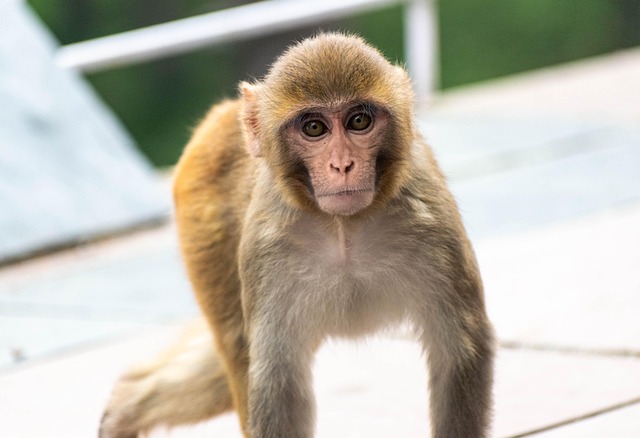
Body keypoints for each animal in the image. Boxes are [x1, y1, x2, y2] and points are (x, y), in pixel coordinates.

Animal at [99, 33, 495, 438]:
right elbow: (278, 380)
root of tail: (222, 116)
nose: (342, 165)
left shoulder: (432, 219)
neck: (344, 229)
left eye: (359, 121)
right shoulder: (266, 247)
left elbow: (457, 353)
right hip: (204, 229)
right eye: (315, 129)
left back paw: (124, 405)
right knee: (238, 345)